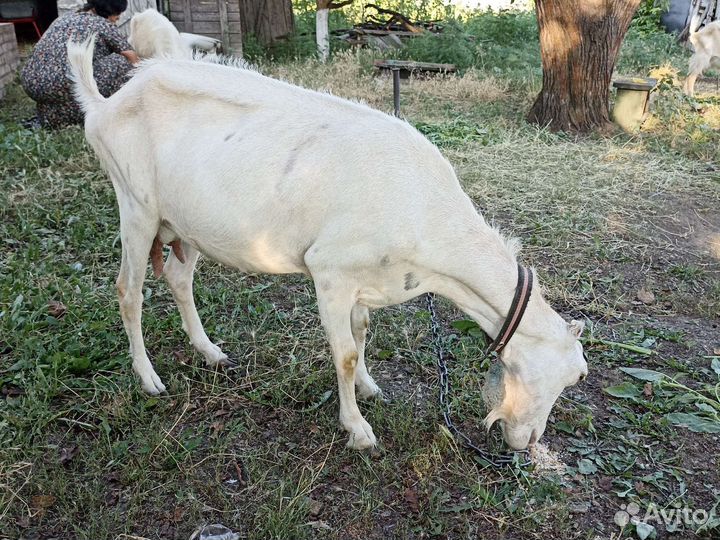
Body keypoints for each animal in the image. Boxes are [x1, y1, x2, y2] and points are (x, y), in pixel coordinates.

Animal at [66, 37, 588, 451]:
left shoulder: (364, 280)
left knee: (177, 278)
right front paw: (357, 429)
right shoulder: (330, 272)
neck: (424, 211)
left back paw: (211, 352)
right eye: (574, 376)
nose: (529, 441)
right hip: (136, 205)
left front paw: (371, 388)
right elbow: (345, 353)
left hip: (185, 222)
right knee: (128, 291)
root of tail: (104, 104)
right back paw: (149, 378)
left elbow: (361, 334)